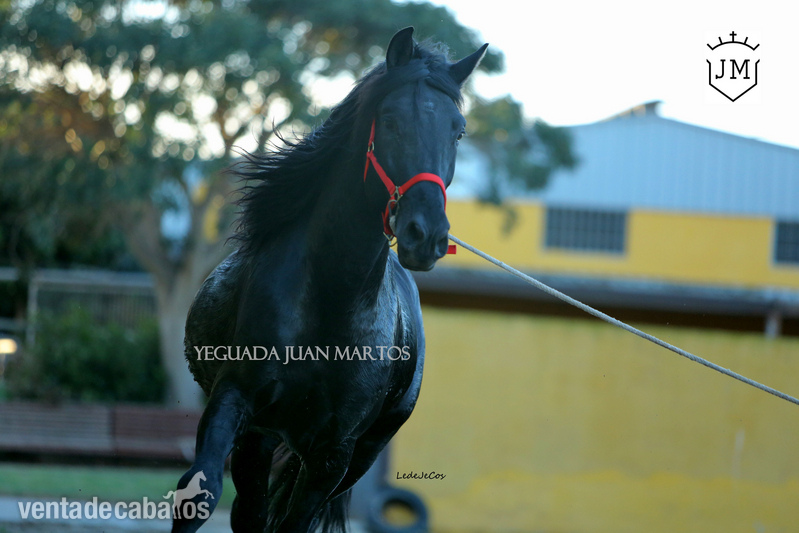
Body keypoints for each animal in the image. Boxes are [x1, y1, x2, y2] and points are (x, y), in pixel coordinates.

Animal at [171, 27, 487, 533]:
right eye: (390, 120)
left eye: (457, 130)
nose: (426, 236)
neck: (331, 302)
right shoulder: (234, 399)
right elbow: (200, 494)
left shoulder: (334, 452)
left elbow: (295, 522)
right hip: (261, 435)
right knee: (248, 511)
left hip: (358, 452)